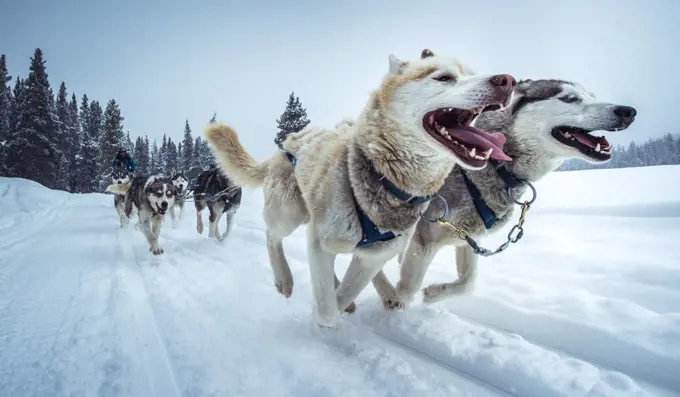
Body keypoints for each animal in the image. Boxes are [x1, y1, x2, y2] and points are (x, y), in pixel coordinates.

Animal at [207, 48, 516, 326]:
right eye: (444, 77)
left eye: (472, 73)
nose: (508, 81)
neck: (387, 180)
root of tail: (287, 143)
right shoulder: (323, 237)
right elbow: (328, 313)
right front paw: (322, 313)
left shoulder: (374, 256)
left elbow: (344, 294)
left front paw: (346, 299)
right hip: (289, 214)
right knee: (272, 236)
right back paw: (284, 278)